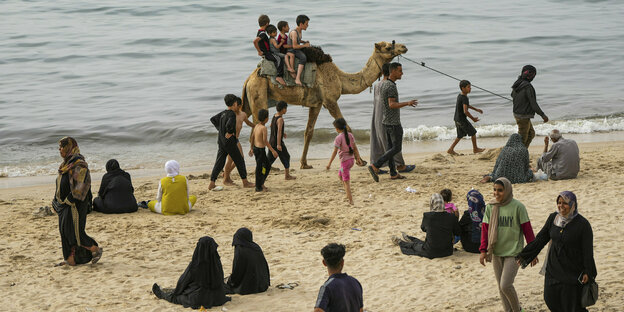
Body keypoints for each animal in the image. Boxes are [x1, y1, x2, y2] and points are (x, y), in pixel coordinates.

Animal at [241, 41, 408, 169]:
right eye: (388, 47)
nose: (404, 46)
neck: (340, 78)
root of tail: (248, 79)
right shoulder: (330, 101)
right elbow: (347, 128)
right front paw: (361, 161)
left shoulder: (317, 104)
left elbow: (309, 132)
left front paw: (304, 163)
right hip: (258, 94)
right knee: (256, 128)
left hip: (249, 101)